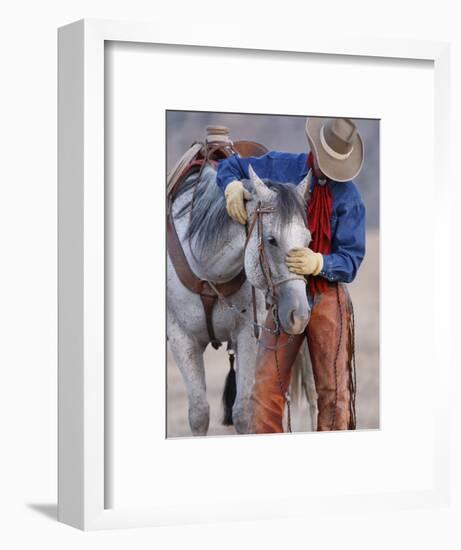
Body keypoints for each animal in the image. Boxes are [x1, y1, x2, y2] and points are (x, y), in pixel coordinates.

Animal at [168, 166, 312, 438]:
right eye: (271, 240)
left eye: (308, 241)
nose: (299, 315)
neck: (209, 273)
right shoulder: (181, 338)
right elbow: (199, 413)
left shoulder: (247, 334)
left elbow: (243, 413)